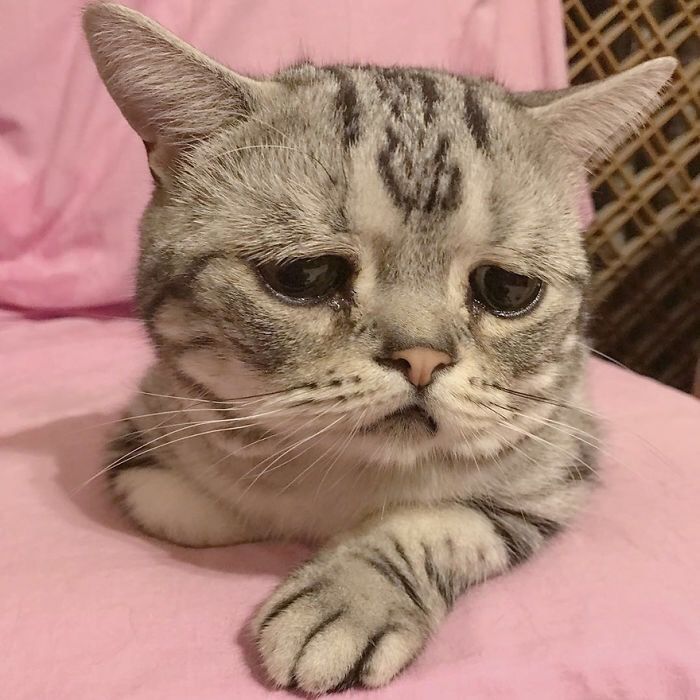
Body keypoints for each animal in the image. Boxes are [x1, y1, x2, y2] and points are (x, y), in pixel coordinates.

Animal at [83, 2, 680, 696]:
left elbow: (441, 524)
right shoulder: (152, 420)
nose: (421, 358)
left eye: (507, 288)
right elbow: (178, 500)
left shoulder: (559, 467)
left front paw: (350, 598)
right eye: (305, 276)